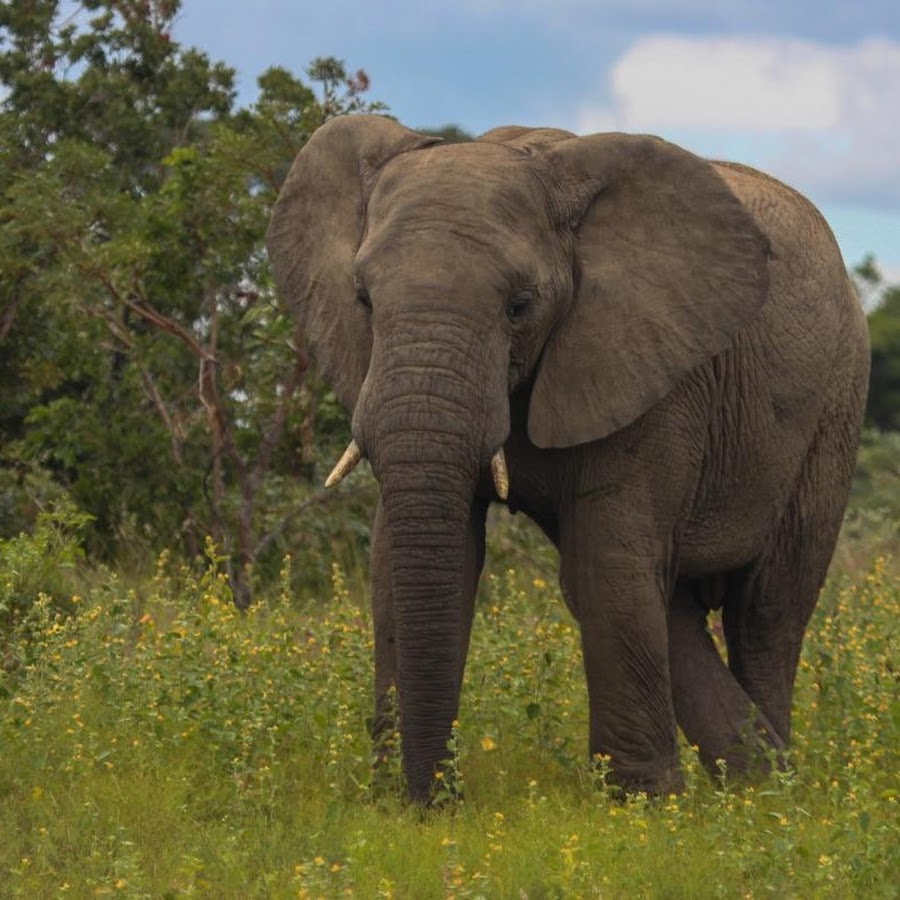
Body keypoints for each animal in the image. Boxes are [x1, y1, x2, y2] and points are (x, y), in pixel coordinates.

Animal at [268, 114, 872, 800]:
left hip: (835, 409)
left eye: (520, 305)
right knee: (668, 600)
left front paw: (638, 806)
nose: (441, 803)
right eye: (363, 300)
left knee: (766, 610)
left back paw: (768, 799)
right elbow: (406, 556)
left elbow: (607, 559)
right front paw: (397, 799)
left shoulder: (653, 368)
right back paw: (754, 781)